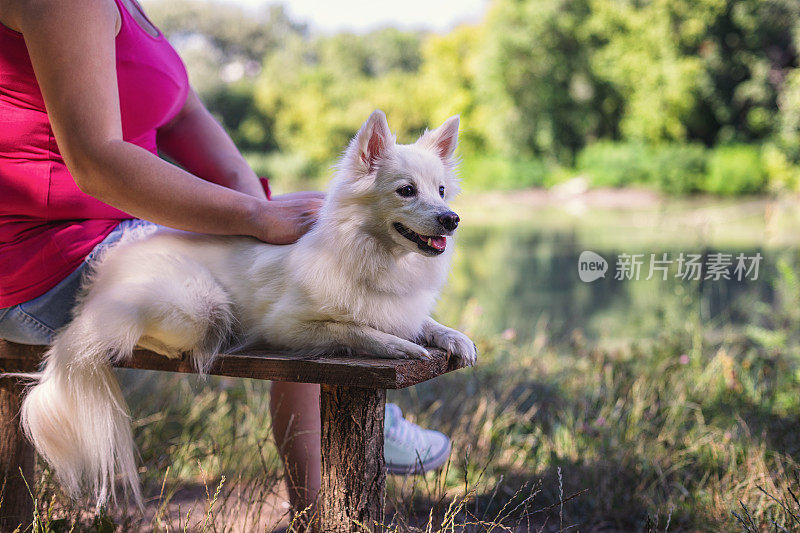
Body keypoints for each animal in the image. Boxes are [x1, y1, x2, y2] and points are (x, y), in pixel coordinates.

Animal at [18, 109, 476, 508]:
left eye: (440, 191)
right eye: (406, 190)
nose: (452, 219)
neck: (374, 254)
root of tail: (115, 260)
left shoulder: (400, 308)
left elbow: (421, 322)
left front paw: (453, 338)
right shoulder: (289, 327)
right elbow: (354, 328)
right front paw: (401, 346)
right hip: (202, 304)